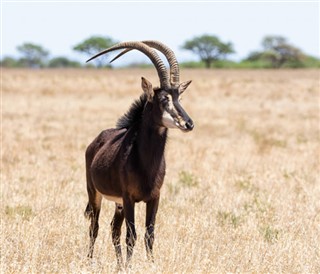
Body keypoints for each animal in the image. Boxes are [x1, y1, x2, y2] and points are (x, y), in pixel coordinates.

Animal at [85, 40, 194, 268]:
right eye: (164, 98)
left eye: (179, 97)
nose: (188, 123)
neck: (145, 162)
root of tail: (95, 142)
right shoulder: (129, 198)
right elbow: (132, 235)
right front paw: (129, 266)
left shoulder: (154, 198)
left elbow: (149, 235)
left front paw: (149, 265)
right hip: (95, 194)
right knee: (95, 227)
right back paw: (89, 262)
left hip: (118, 204)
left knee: (113, 229)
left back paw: (118, 265)